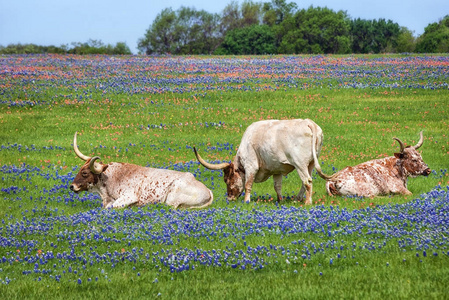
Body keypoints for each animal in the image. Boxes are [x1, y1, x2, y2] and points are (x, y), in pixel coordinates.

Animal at [70, 132, 214, 210]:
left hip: (172, 198)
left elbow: (114, 206)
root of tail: (207, 190)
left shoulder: (128, 196)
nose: (72, 186)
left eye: (85, 173)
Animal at [194, 118, 324, 205]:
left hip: (300, 164)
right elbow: (277, 186)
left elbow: (248, 184)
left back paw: (307, 202)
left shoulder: (251, 166)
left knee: (307, 181)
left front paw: (246, 201)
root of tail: (308, 123)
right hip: (310, 164)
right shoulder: (277, 170)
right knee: (305, 182)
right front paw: (280, 200)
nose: (229, 198)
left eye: (226, 179)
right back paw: (297, 199)